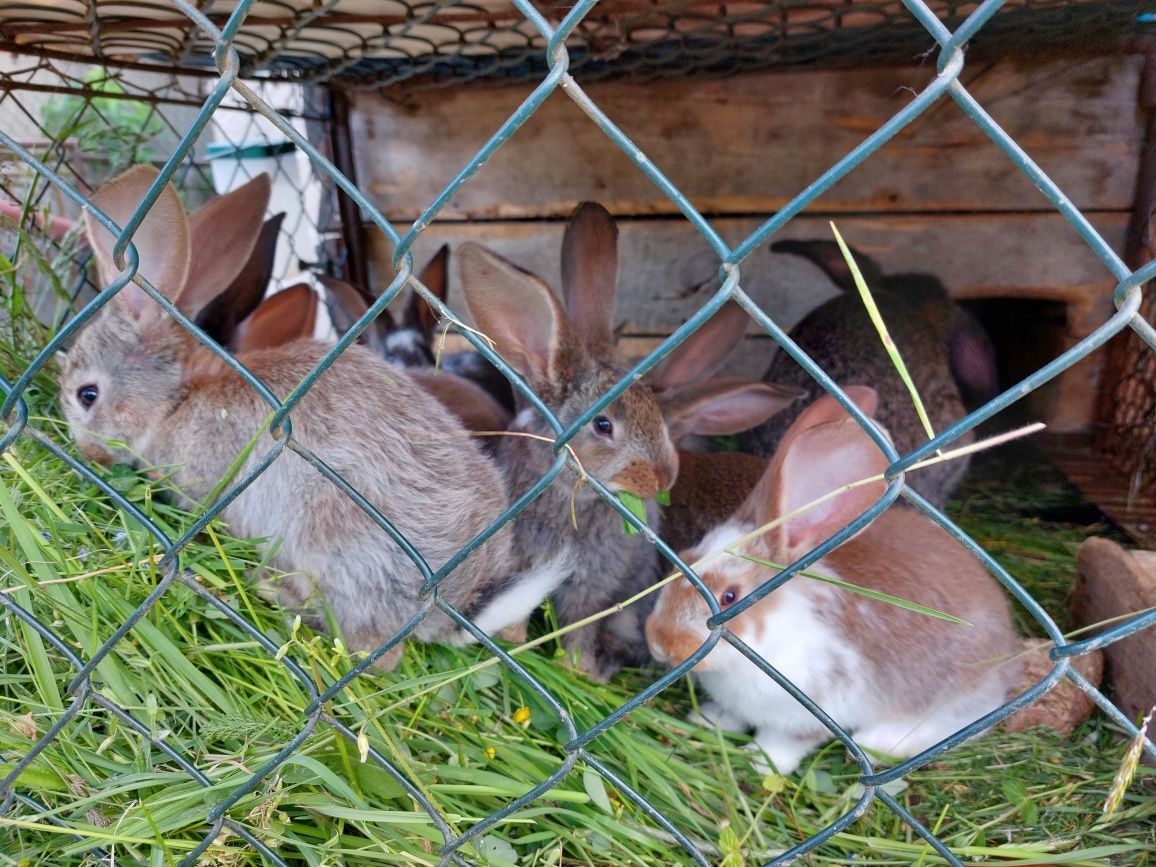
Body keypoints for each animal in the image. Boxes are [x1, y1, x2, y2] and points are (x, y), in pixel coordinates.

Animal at [57, 167, 554, 670]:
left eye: (87, 395)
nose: (88, 453)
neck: (175, 399)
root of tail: (452, 600)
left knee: (374, 651)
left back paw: (275, 595)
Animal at [651, 390, 1021, 776]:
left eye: (729, 596)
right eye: (682, 559)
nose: (659, 643)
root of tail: (1009, 646)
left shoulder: (809, 714)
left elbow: (783, 742)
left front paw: (761, 763)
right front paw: (708, 720)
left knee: (961, 721)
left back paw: (879, 743)